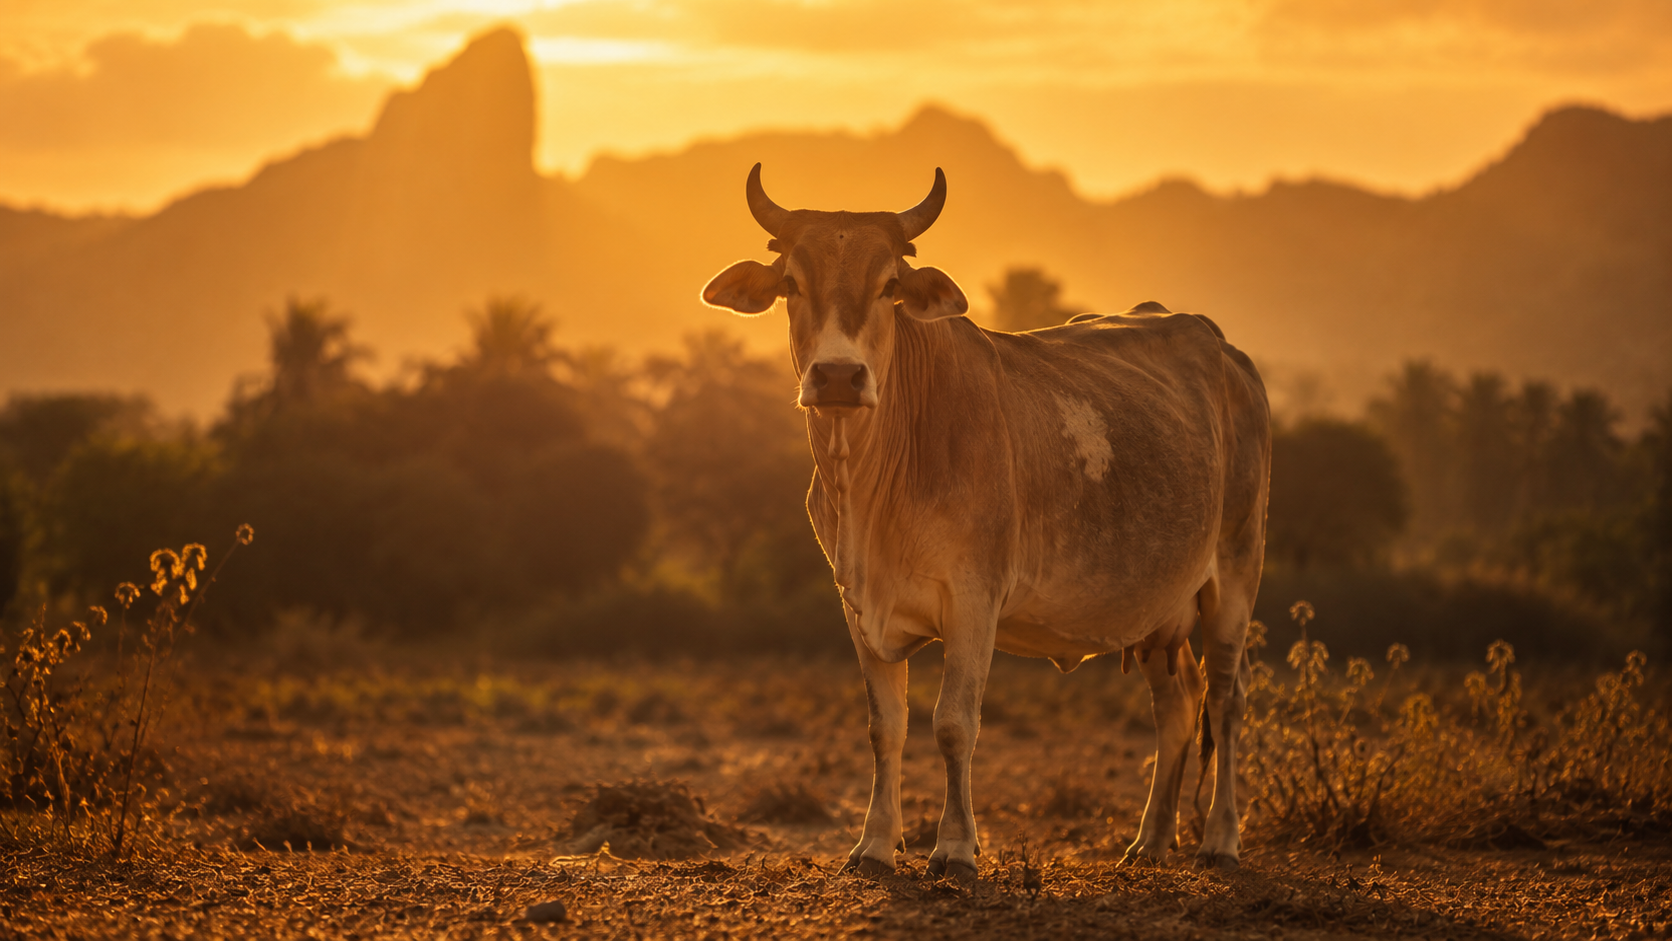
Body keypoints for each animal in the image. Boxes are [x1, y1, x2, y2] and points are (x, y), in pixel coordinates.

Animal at [701, 165, 1271, 881]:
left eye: (889, 285)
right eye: (791, 284)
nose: (836, 376)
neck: (873, 487)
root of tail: (1225, 350)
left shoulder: (975, 599)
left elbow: (953, 723)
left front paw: (954, 847)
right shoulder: (857, 604)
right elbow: (885, 727)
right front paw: (874, 844)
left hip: (1234, 573)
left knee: (1226, 697)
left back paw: (1221, 837)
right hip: (1157, 609)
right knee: (1178, 705)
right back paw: (1149, 840)